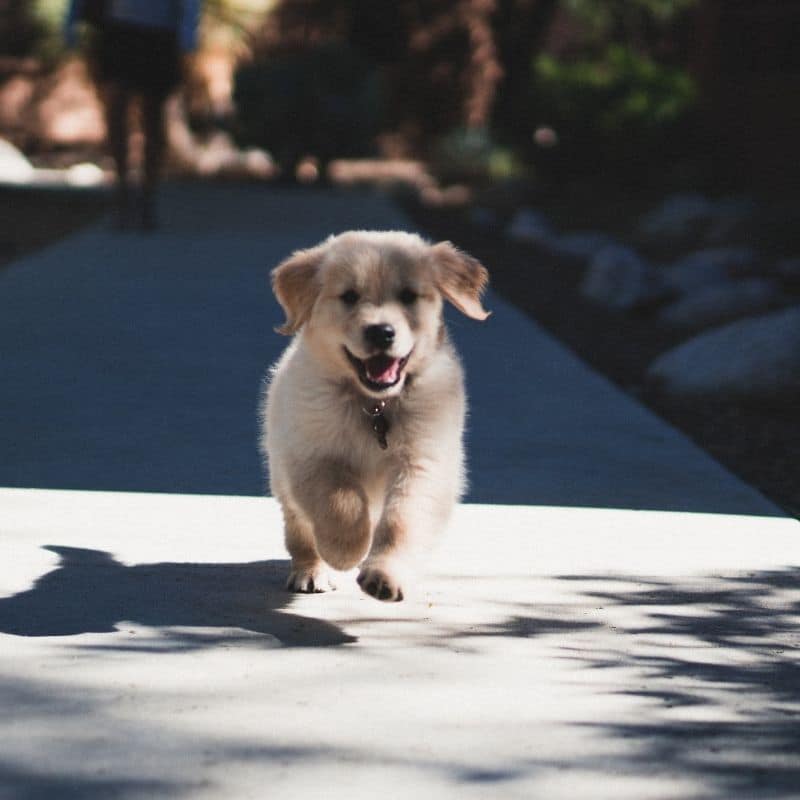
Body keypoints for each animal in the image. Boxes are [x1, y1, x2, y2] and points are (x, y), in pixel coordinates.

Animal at [260, 230, 490, 600]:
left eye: (408, 296)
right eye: (349, 297)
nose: (381, 332)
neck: (374, 405)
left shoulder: (424, 462)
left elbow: (402, 521)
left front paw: (385, 575)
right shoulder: (310, 455)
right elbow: (340, 501)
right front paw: (346, 550)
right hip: (281, 474)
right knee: (300, 530)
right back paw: (311, 570)